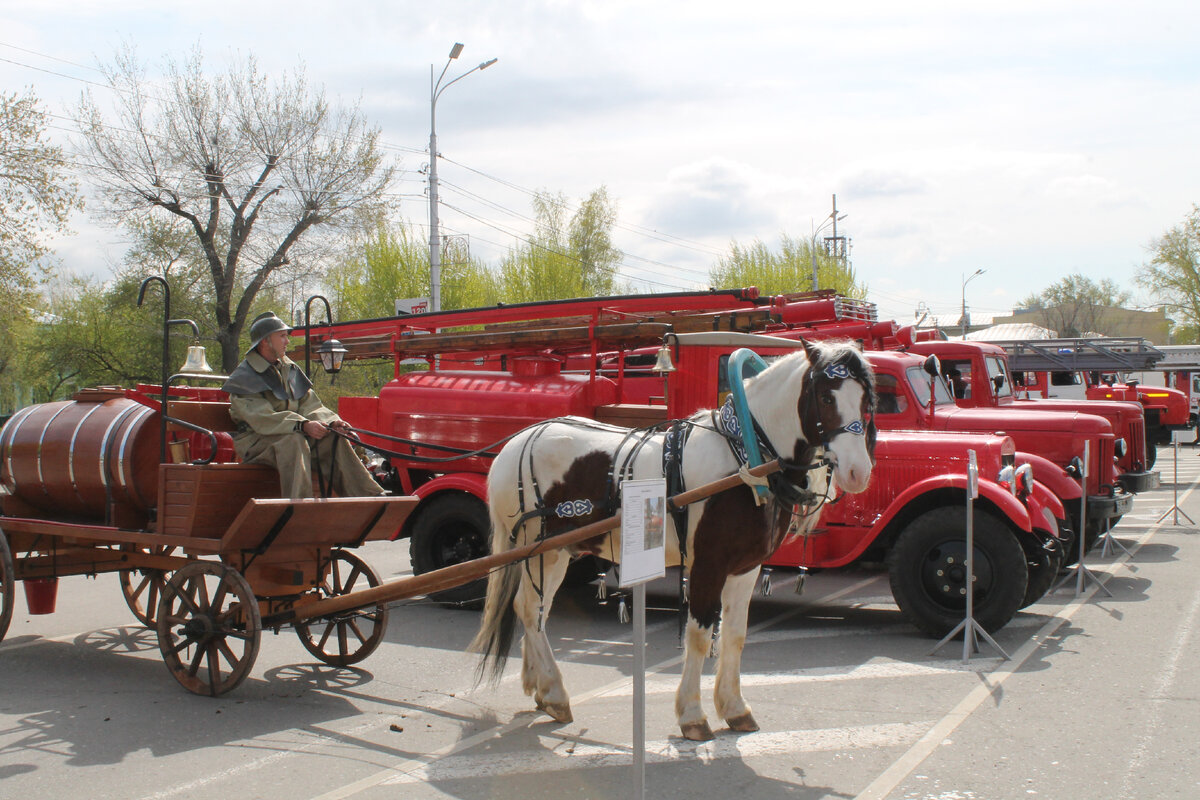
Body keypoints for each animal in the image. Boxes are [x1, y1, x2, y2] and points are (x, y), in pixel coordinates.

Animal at [470, 340, 883, 743]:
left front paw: (735, 708)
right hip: (542, 550)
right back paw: (555, 692)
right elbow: (699, 635)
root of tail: (516, 443)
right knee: (528, 608)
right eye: (827, 397)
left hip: (557, 551)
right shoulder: (708, 564)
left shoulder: (746, 568)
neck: (746, 459)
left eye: (868, 400)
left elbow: (735, 635)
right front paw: (693, 716)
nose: (858, 472)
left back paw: (540, 687)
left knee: (537, 609)